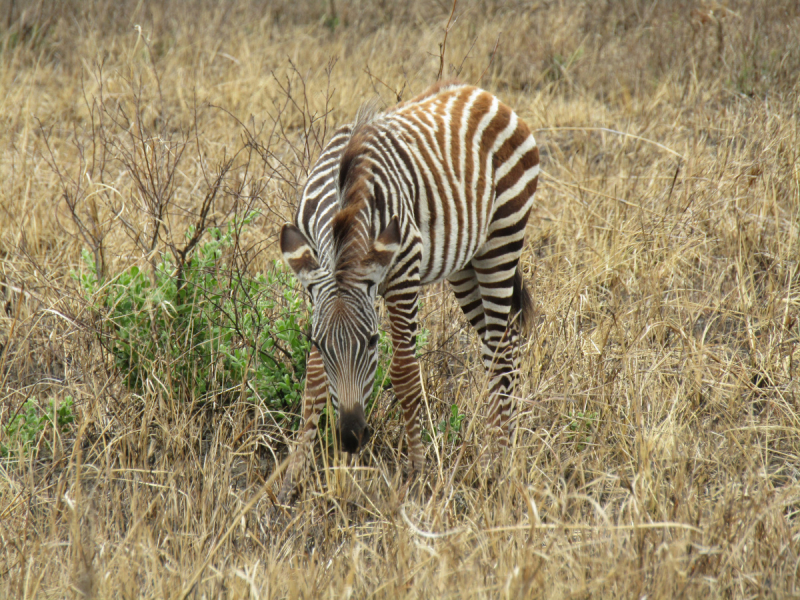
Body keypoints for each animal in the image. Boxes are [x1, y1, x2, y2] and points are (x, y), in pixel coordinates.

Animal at [278, 81, 540, 496]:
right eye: (318, 342)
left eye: (372, 341)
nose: (351, 438)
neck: (346, 211)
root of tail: (482, 92)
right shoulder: (313, 284)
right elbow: (313, 383)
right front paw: (292, 479)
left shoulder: (403, 273)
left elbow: (404, 375)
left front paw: (417, 470)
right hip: (464, 264)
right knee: (505, 345)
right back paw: (506, 444)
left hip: (502, 239)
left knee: (501, 349)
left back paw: (496, 463)